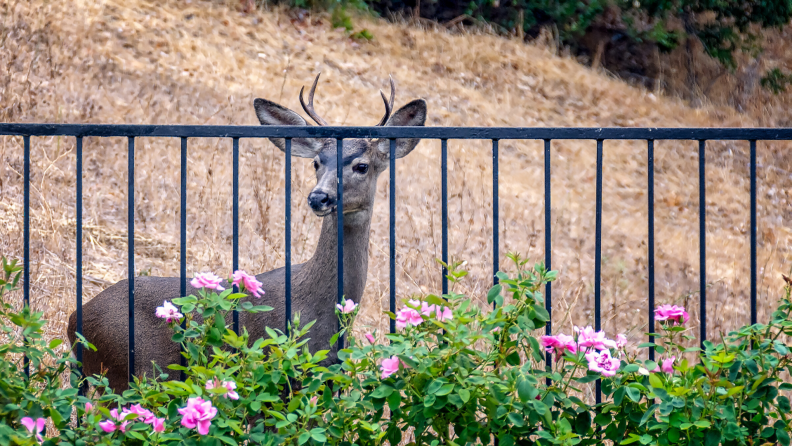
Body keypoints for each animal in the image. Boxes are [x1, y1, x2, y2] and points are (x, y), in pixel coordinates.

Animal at [67, 74, 426, 390]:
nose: (319, 197)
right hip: (129, 371)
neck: (318, 309)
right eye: (317, 162)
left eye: (362, 165)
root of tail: (74, 322)